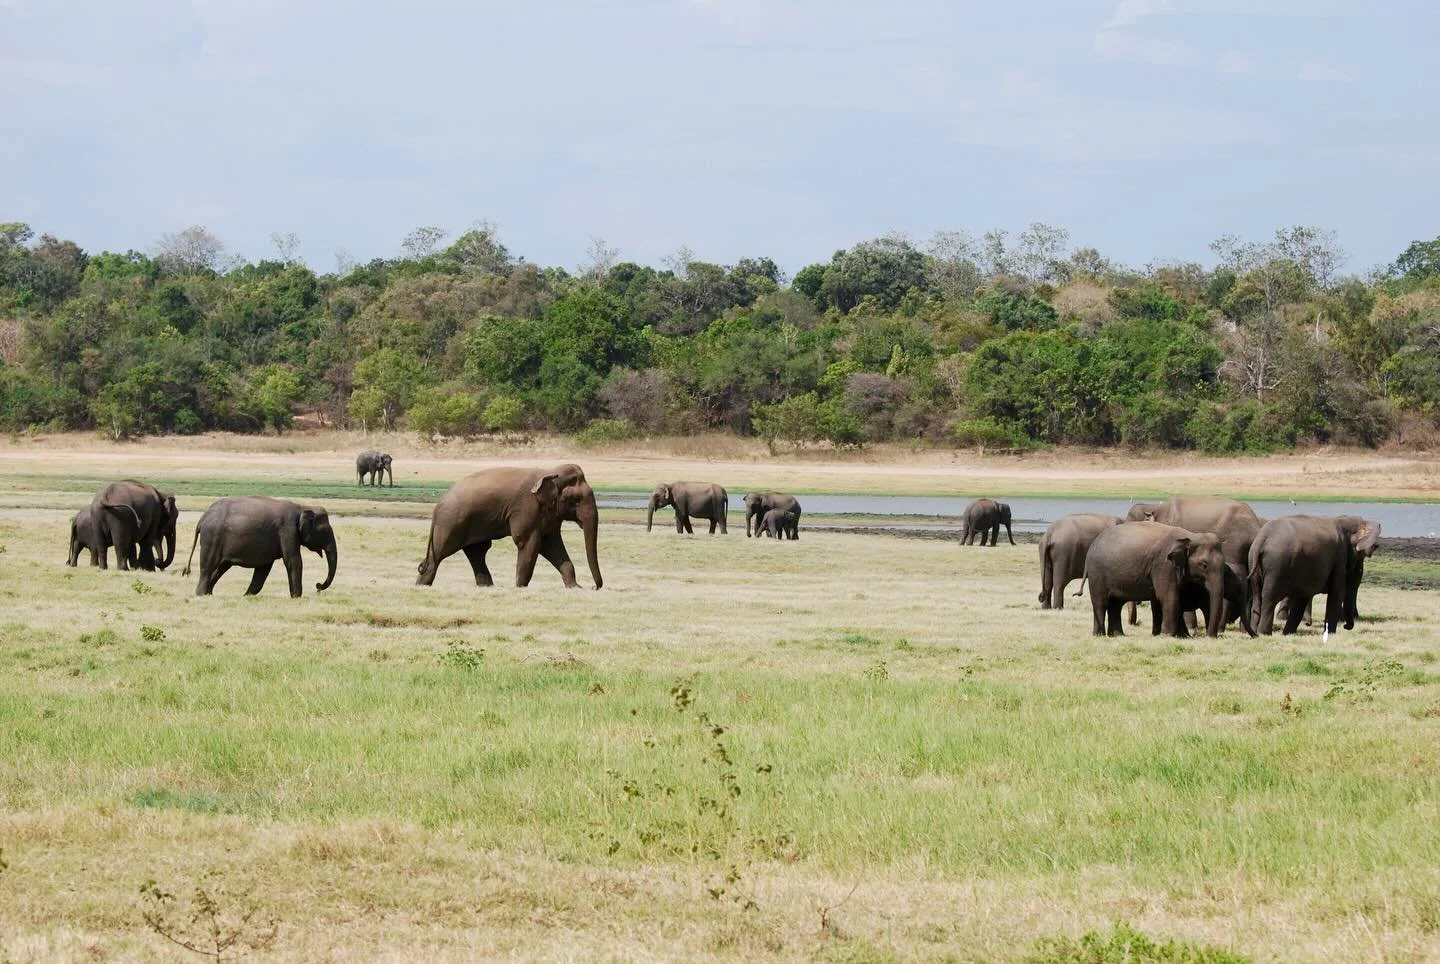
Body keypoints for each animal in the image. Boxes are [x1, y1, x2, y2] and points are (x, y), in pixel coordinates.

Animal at [182, 497, 337, 597]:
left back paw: (209, 593)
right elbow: (293, 561)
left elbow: (264, 568)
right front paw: (296, 597)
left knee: (221, 568)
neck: (301, 507)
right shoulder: (287, 530)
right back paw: (201, 594)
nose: (318, 587)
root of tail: (202, 518)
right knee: (208, 567)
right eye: (324, 531)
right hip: (212, 538)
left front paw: (247, 596)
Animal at [416, 463, 602, 589]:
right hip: (450, 523)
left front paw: (575, 588)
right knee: (439, 555)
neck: (549, 472)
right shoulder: (526, 508)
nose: (593, 587)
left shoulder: (549, 515)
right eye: (576, 500)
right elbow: (529, 543)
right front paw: (520, 587)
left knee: (477, 552)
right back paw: (422, 586)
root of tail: (438, 505)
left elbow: (552, 545)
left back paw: (487, 587)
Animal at [1083, 521, 1231, 638]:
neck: (1190, 536)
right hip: (1097, 574)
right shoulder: (1164, 566)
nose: (1210, 636)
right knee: (1100, 603)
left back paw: (1117, 635)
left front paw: (1177, 635)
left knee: (1116, 605)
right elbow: (1168, 596)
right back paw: (1099, 635)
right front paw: (1168, 635)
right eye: (1204, 565)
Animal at [1248, 515, 1379, 638]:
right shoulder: (1339, 558)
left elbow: (1302, 599)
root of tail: (1262, 538)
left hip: (1254, 562)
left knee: (1257, 596)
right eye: (1359, 558)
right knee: (1270, 598)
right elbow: (1336, 593)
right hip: (1277, 566)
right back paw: (1264, 633)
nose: (1346, 626)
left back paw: (1254, 632)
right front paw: (1330, 635)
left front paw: (1288, 634)